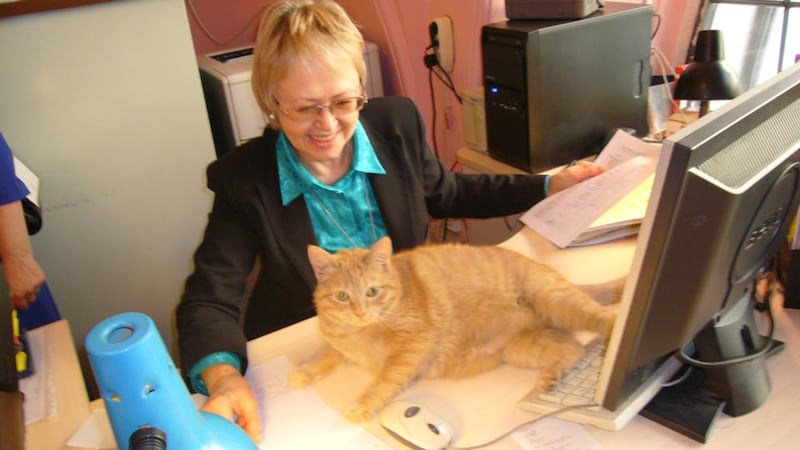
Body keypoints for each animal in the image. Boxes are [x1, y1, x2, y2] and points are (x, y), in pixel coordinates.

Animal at [288, 237, 620, 424]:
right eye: (343, 296)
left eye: (371, 291)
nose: (359, 312)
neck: (362, 333)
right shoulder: (337, 341)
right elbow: (324, 355)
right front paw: (303, 372)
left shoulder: (412, 346)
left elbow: (383, 380)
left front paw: (362, 404)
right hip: (522, 348)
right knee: (573, 348)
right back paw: (553, 377)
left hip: (557, 300)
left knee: (604, 319)